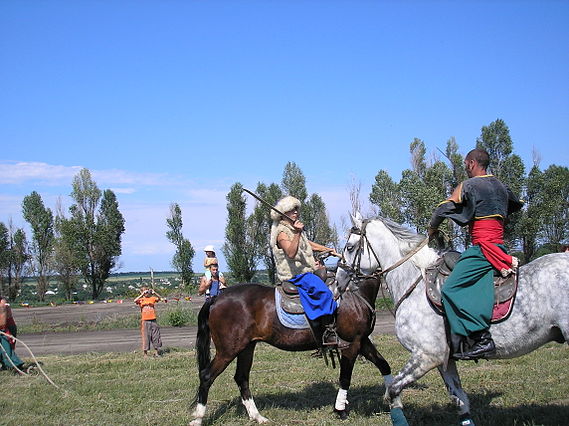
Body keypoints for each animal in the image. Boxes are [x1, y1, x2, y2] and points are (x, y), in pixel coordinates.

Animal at [189, 278, 392, 424]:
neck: (355, 294)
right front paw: (340, 410)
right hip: (228, 349)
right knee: (207, 376)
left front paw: (391, 397)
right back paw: (198, 418)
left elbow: (384, 365)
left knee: (241, 378)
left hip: (246, 348)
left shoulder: (363, 341)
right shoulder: (351, 344)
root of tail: (216, 298)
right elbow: (345, 378)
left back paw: (257, 417)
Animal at [336, 213, 564, 426]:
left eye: (349, 247)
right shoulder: (444, 361)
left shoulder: (426, 355)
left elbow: (392, 390)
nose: (338, 279)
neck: (416, 284)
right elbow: (459, 398)